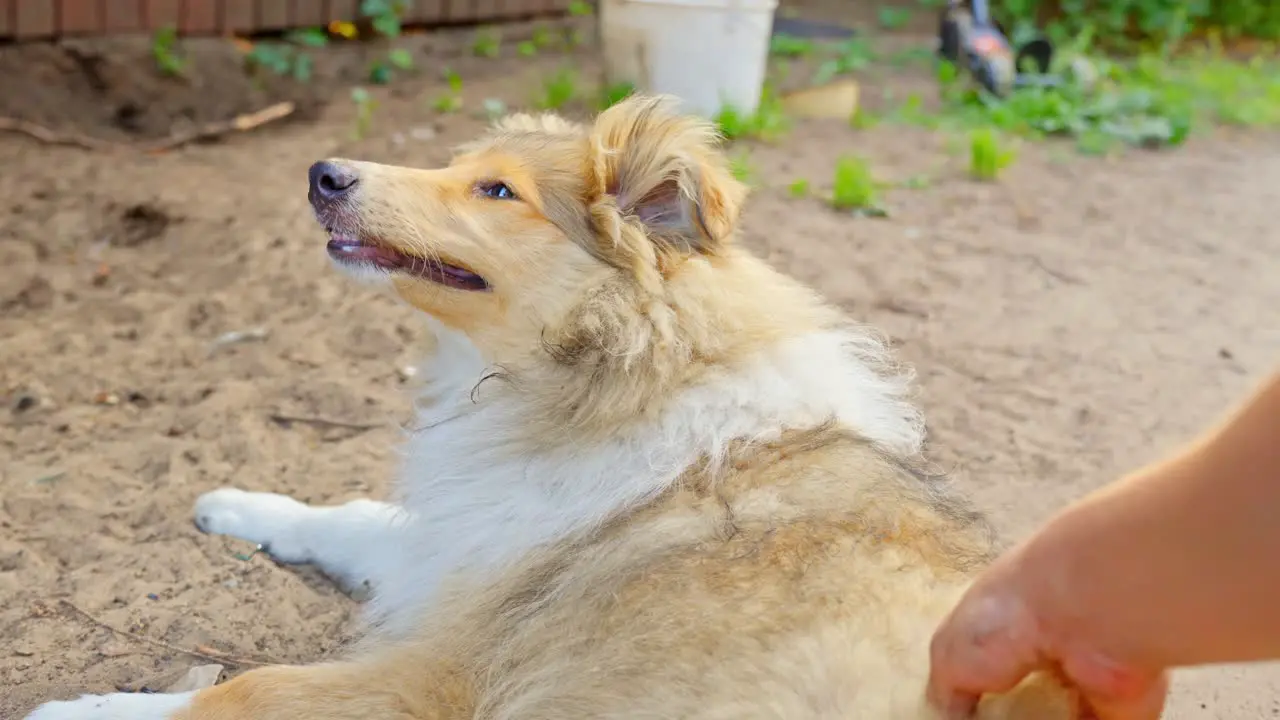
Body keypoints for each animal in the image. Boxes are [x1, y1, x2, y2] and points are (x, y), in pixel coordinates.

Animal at [24, 94, 1075, 717]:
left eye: (498, 191)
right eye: (462, 168)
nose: (323, 175)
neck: (611, 373)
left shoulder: (455, 666)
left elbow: (239, 690)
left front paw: (83, 710)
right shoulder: (463, 557)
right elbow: (352, 519)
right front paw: (232, 504)